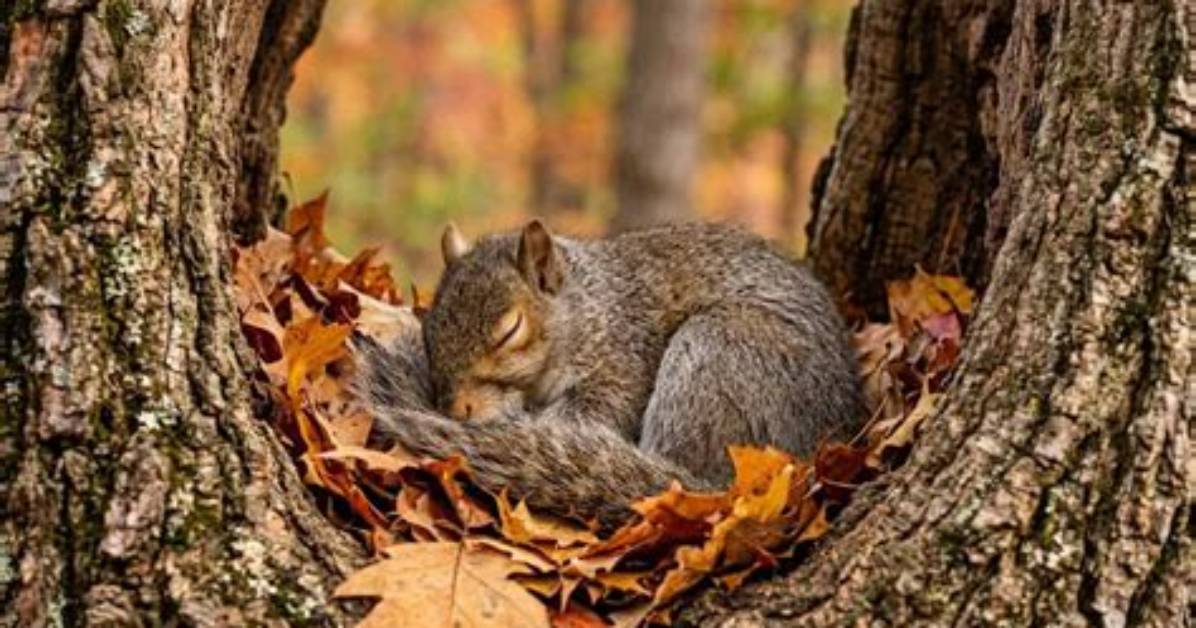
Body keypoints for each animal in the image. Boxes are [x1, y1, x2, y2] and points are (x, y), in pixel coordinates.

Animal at [355, 220, 865, 528]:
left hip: (721, 355)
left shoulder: (622, 363)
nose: (457, 410)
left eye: (511, 330)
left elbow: (592, 415)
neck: (588, 309)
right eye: (431, 330)